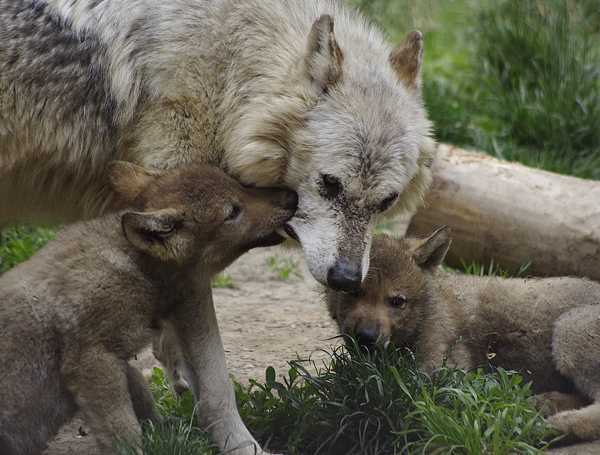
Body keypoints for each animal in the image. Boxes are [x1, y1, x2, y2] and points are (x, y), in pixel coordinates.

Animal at [0, 162, 298, 455]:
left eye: (238, 183)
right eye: (233, 212)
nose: (292, 197)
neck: (136, 264)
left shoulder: (118, 361)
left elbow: (143, 401)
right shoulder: (93, 358)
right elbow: (123, 427)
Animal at [326, 230, 600, 440]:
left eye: (397, 301)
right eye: (353, 293)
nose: (365, 335)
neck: (427, 311)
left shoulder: (448, 373)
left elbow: (412, 401)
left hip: (569, 328)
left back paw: (545, 426)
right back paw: (544, 404)